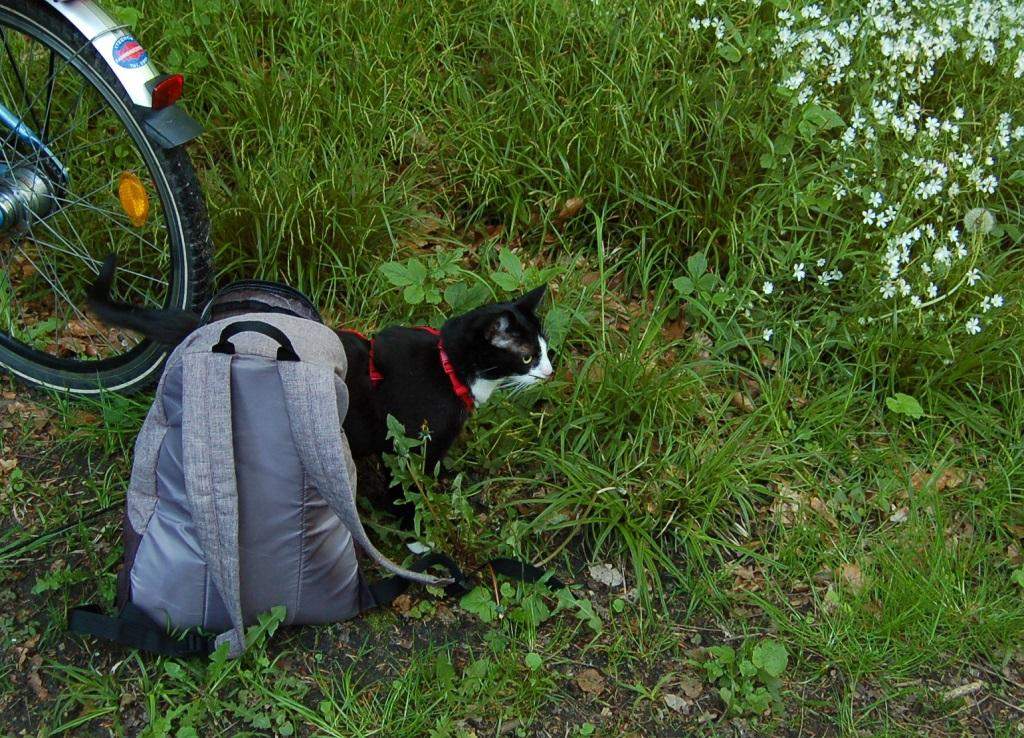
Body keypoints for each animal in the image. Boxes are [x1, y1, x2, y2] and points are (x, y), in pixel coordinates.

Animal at [90, 262, 552, 522]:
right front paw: (417, 532)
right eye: (528, 355)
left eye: (546, 348)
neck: (448, 365)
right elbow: (406, 488)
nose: (550, 371)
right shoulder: (405, 442)